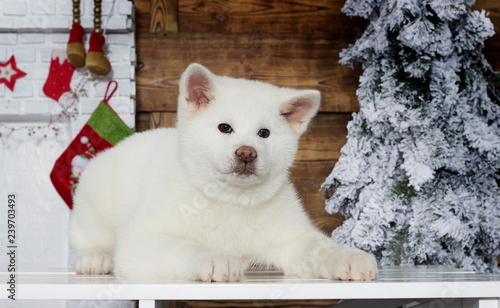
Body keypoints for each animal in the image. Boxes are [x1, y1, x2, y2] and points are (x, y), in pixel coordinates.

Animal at [68, 62, 376, 282]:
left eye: (264, 133)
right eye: (224, 128)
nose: (246, 153)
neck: (232, 199)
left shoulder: (293, 238)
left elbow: (321, 248)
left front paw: (348, 257)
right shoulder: (142, 241)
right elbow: (185, 247)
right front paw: (215, 259)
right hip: (92, 197)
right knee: (90, 238)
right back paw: (94, 258)